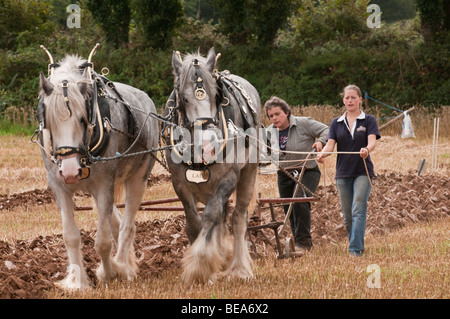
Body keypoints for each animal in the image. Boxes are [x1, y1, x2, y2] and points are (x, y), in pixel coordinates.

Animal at [164, 48, 264, 284]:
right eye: (183, 98)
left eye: (216, 96)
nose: (209, 145)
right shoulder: (179, 183)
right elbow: (194, 222)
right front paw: (203, 268)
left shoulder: (229, 177)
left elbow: (211, 214)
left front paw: (200, 264)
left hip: (248, 173)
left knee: (238, 217)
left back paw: (239, 268)